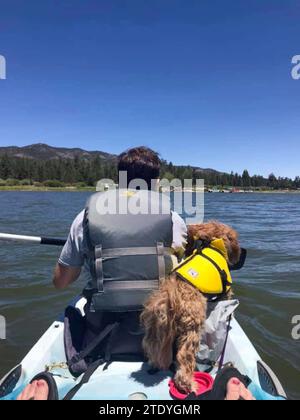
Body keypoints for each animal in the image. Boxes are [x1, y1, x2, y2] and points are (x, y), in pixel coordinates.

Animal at [141, 221, 241, 396]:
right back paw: (188, 385)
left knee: (154, 348)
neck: (213, 243)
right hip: (191, 329)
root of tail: (171, 293)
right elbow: (227, 298)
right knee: (184, 358)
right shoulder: (226, 291)